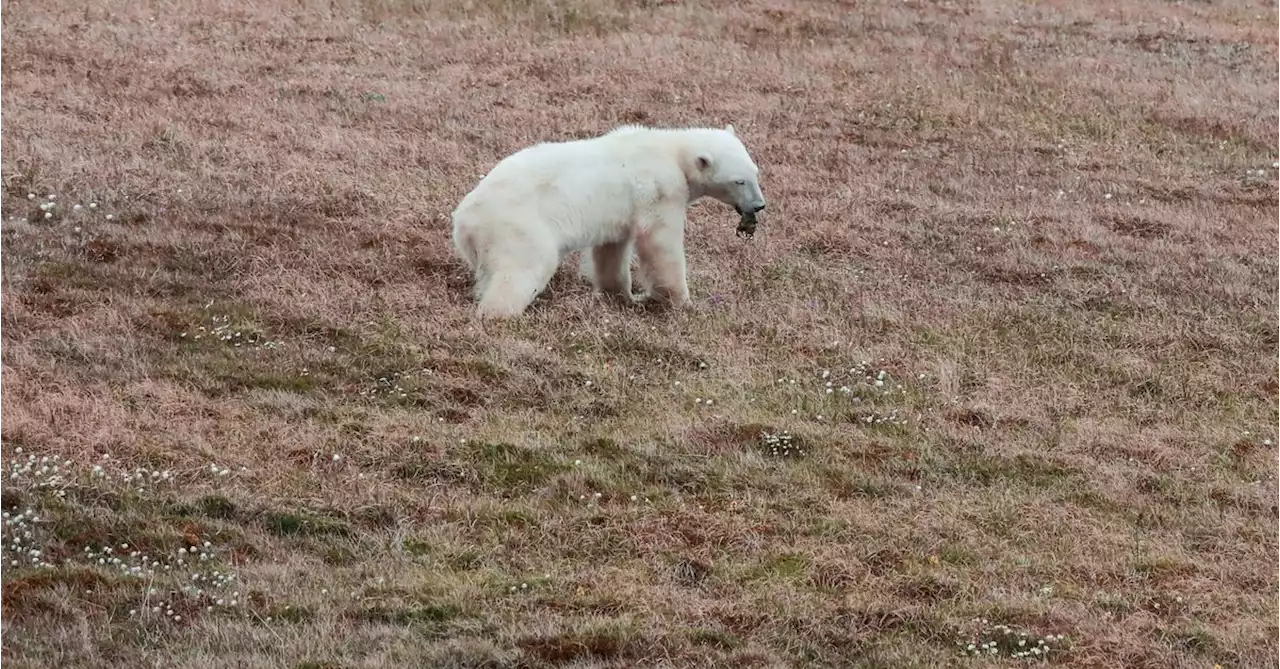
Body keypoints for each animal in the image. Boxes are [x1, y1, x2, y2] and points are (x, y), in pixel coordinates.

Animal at [453, 124, 768, 319]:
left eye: (755, 172)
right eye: (739, 181)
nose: (759, 205)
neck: (671, 150)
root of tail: (464, 221)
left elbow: (611, 249)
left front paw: (621, 295)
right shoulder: (659, 190)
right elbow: (660, 243)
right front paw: (681, 302)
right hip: (518, 225)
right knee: (523, 267)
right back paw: (499, 314)